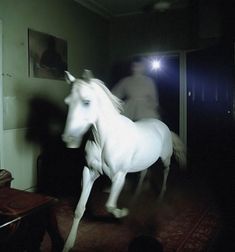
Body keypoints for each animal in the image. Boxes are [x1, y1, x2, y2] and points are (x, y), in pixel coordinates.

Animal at [62, 70, 185, 251]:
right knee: (143, 173)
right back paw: (136, 195)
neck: (105, 139)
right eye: (67, 103)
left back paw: (160, 195)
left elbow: (110, 206)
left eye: (86, 102)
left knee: (166, 171)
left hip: (165, 158)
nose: (68, 140)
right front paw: (68, 244)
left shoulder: (119, 176)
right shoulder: (89, 172)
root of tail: (163, 126)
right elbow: (79, 209)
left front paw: (123, 213)